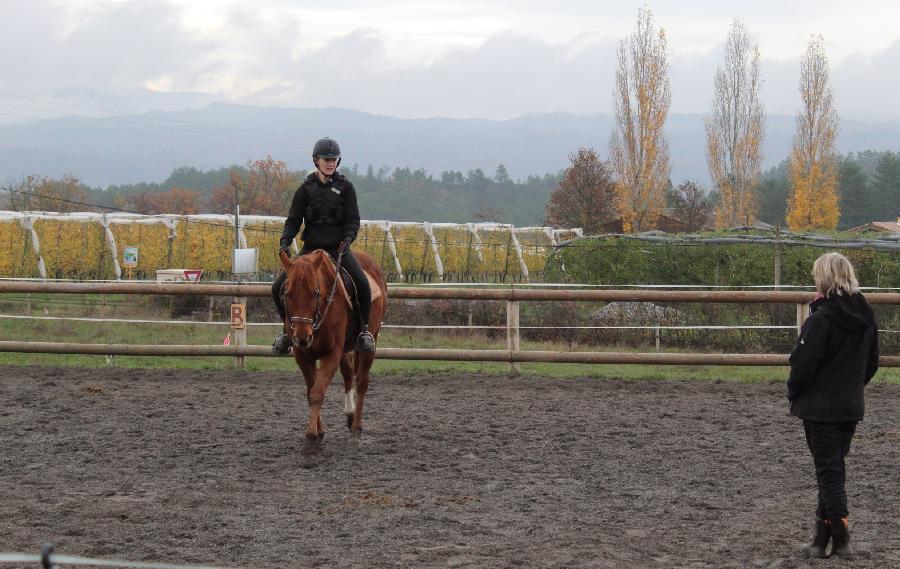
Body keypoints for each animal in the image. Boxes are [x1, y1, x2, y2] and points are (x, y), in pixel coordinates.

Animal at [276, 246, 384, 450]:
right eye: (286, 293)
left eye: (315, 293)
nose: (302, 337)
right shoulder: (303, 355)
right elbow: (311, 392)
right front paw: (319, 430)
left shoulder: (331, 353)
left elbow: (318, 392)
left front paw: (312, 434)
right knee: (348, 374)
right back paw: (350, 415)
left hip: (371, 341)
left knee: (362, 382)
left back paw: (356, 428)